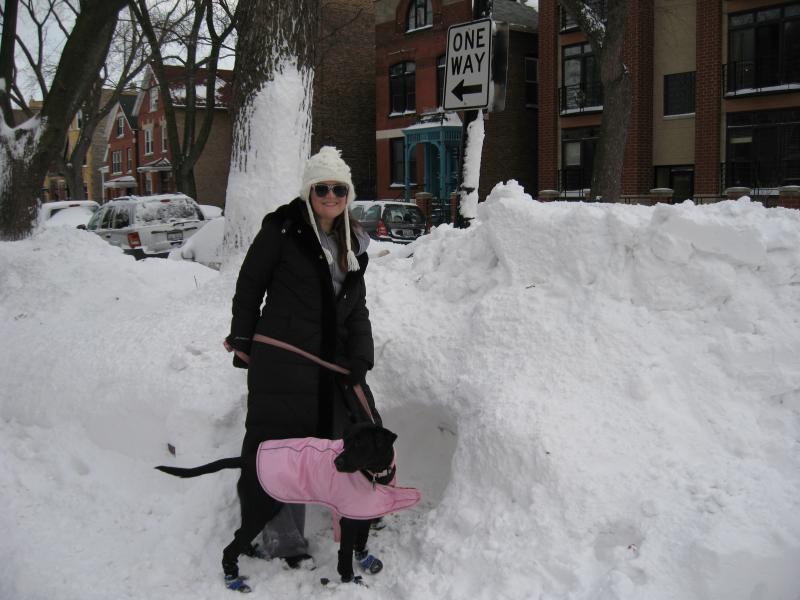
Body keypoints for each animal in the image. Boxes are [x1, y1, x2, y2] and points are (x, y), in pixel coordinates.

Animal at [156, 424, 396, 588]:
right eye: (345, 443)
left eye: (360, 444)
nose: (337, 463)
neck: (374, 475)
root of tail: (246, 460)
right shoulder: (347, 520)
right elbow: (345, 553)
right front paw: (350, 581)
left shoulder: (364, 513)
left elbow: (361, 541)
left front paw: (365, 560)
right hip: (260, 511)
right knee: (229, 547)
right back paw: (233, 580)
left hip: (260, 509)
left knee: (238, 535)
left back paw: (251, 553)